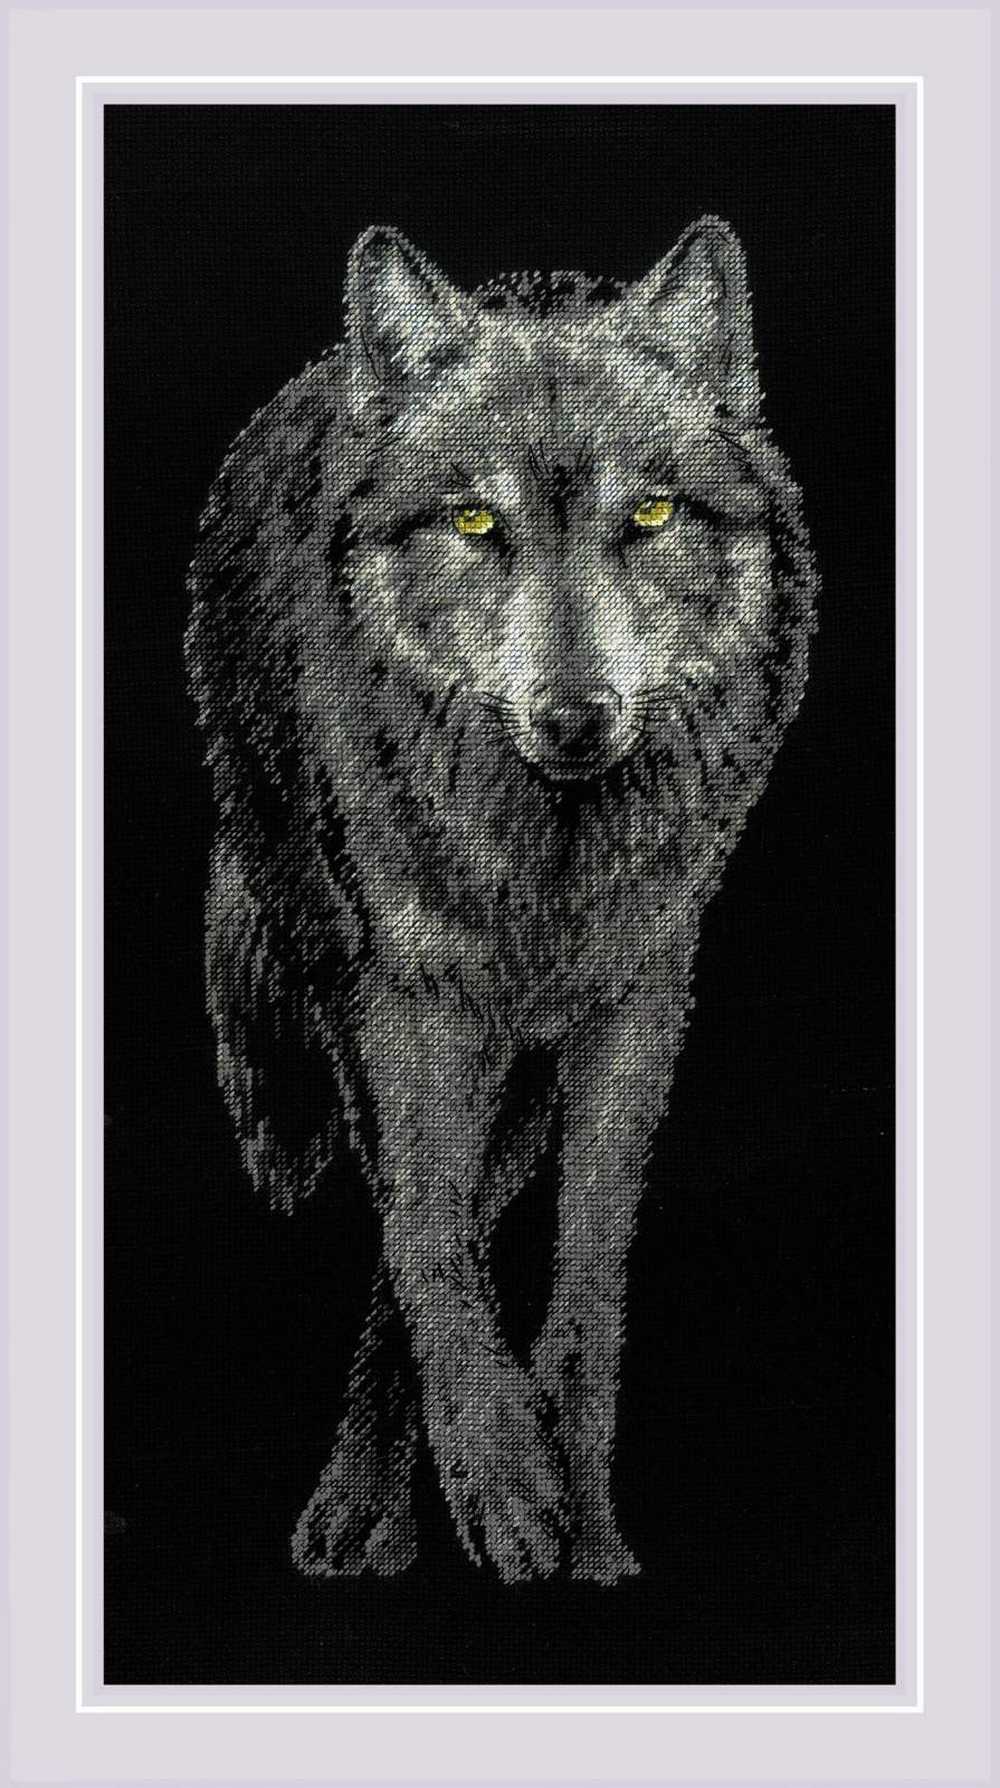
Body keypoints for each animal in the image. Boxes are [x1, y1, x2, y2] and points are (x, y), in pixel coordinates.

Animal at [186, 217, 817, 1585]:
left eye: (651, 511)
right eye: (476, 519)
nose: (574, 717)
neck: (546, 867)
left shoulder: (639, 1006)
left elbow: (583, 1270)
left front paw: (573, 1508)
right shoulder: (405, 1002)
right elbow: (430, 1237)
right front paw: (507, 1479)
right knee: (414, 1217)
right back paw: (362, 1507)